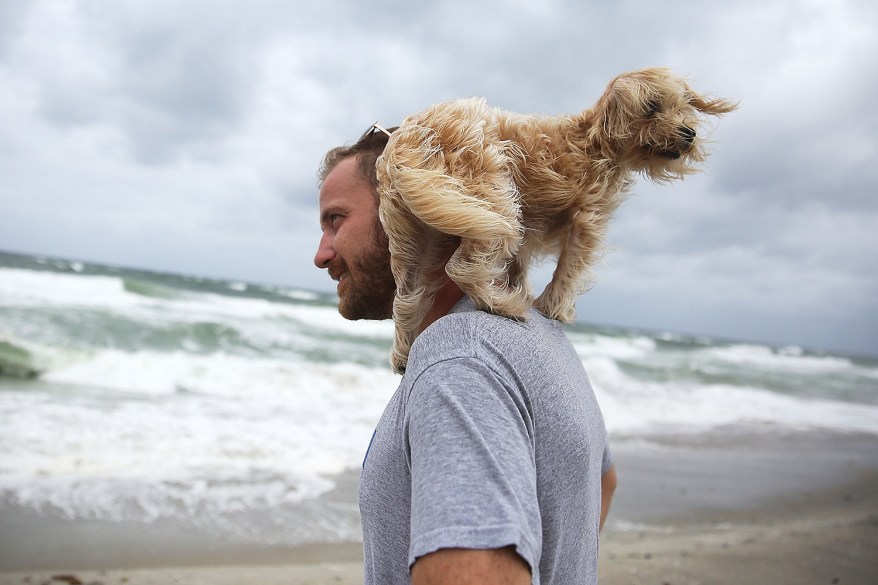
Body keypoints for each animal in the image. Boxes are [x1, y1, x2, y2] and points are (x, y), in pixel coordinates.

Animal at [378, 66, 736, 372]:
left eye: (684, 106)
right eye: (651, 107)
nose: (689, 133)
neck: (595, 142)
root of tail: (407, 139)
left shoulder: (530, 226)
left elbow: (520, 261)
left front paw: (522, 287)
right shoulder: (589, 219)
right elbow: (570, 267)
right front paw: (553, 308)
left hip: (420, 232)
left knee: (406, 298)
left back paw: (404, 354)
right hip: (493, 200)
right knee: (462, 267)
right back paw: (503, 305)